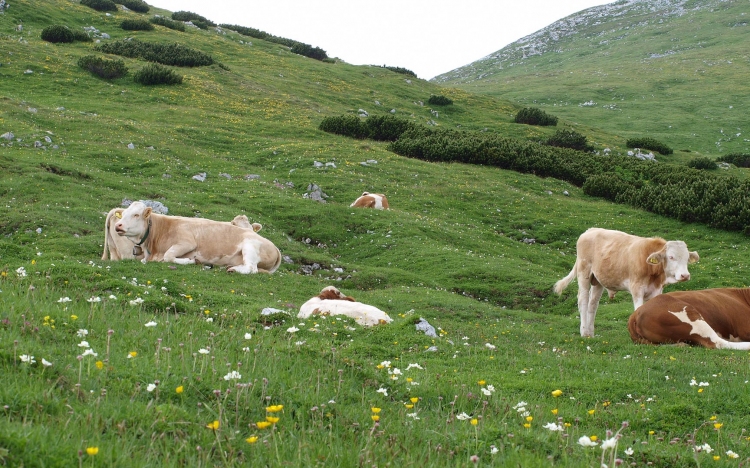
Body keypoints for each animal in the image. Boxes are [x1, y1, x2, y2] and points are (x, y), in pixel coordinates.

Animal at [114, 202, 282, 274]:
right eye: (123, 214)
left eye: (136, 215)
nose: (118, 225)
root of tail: (276, 247)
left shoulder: (187, 242)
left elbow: (168, 256)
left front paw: (191, 261)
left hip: (250, 246)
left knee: (251, 268)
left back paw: (233, 269)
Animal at [556, 227, 704, 336]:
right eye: (671, 257)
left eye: (687, 258)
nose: (685, 275)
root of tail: (590, 230)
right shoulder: (637, 288)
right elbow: (638, 309)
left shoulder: (656, 290)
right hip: (584, 273)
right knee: (583, 301)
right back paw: (583, 332)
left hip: (597, 280)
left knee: (593, 304)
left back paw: (590, 333)